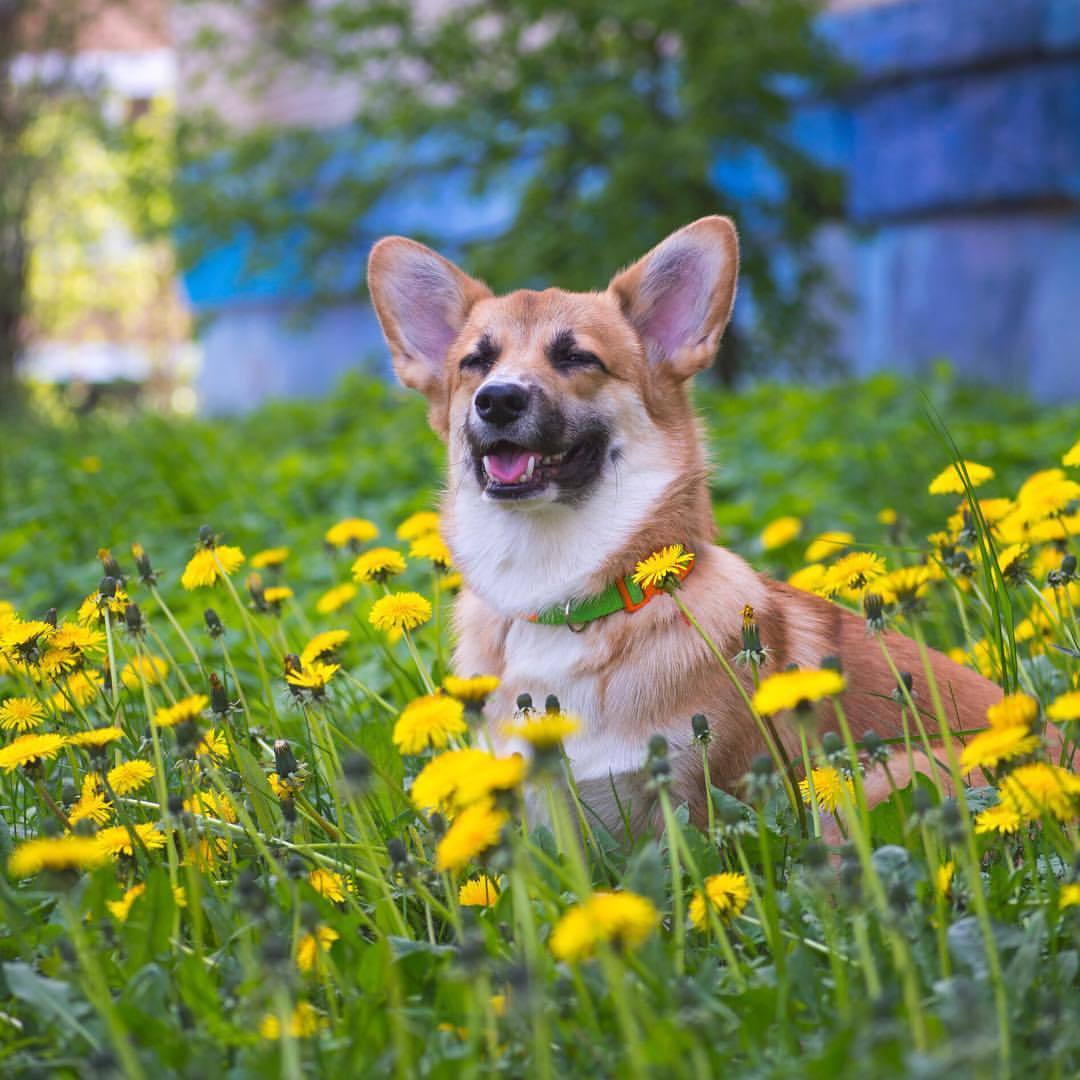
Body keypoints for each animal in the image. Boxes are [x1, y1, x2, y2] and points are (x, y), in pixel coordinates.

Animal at [367, 214, 997, 829]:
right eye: (476, 362)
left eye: (576, 357)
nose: (497, 400)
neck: (562, 598)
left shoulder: (693, 806)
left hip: (876, 780)